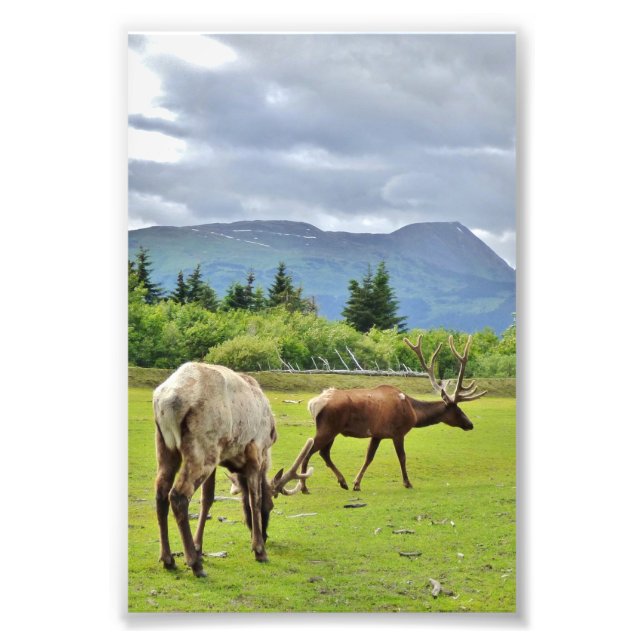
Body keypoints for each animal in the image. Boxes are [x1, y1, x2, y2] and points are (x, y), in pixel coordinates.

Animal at [153, 362, 314, 577]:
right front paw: (259, 550)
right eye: (271, 506)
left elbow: (208, 499)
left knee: (161, 492)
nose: (266, 535)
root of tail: (167, 400)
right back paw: (195, 565)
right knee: (178, 495)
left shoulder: (221, 460)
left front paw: (199, 547)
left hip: (165, 445)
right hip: (203, 447)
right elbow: (255, 499)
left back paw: (168, 559)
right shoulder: (256, 452)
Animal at [299, 334, 487, 493]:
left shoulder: (377, 434)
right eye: (458, 409)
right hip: (329, 427)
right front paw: (407, 483)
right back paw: (304, 487)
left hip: (332, 429)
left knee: (324, 453)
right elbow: (402, 457)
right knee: (309, 451)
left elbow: (369, 457)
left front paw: (356, 483)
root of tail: (313, 403)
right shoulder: (398, 432)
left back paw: (342, 481)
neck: (414, 413)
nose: (470, 424)